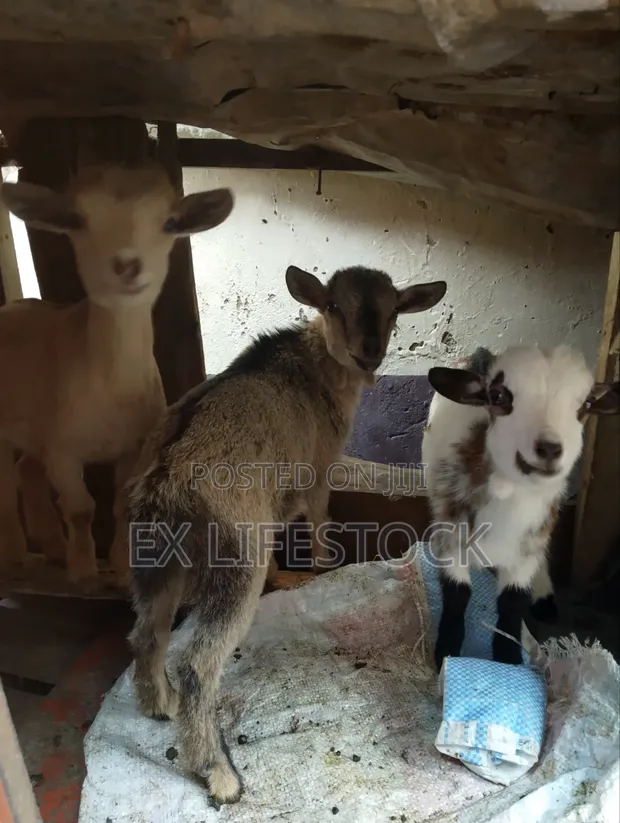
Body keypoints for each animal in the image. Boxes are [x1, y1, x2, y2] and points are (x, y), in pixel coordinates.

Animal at [0, 164, 234, 582]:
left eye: (170, 222)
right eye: (77, 219)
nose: (127, 264)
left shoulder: (132, 445)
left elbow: (122, 506)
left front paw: (121, 568)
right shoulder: (63, 450)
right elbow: (81, 508)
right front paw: (83, 571)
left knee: (27, 470)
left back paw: (52, 548)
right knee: (5, 489)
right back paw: (14, 557)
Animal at [125, 264, 446, 805]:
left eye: (394, 311)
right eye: (334, 305)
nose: (369, 352)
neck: (316, 366)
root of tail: (165, 480)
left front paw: (287, 577)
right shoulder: (316, 474)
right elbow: (319, 523)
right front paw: (317, 571)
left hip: (157, 559)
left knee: (147, 631)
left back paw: (158, 704)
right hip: (235, 559)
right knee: (198, 663)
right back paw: (219, 774)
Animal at [421, 344, 620, 670]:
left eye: (587, 405)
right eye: (499, 396)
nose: (550, 449)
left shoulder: (528, 547)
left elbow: (512, 603)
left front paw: (509, 660)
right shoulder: (449, 536)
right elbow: (457, 595)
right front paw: (446, 653)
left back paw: (545, 599)